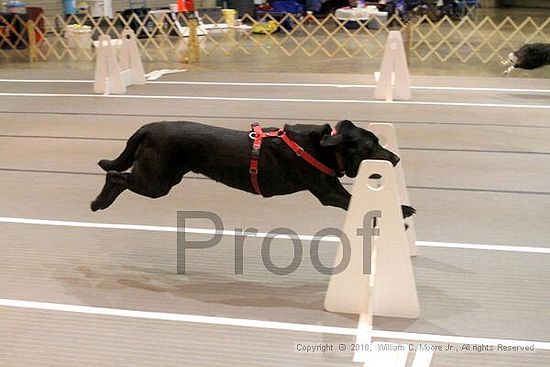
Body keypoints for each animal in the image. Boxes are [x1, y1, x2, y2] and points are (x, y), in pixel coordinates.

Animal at [91, 120, 414, 218]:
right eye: (372, 146)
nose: (396, 159)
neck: (325, 147)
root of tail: (149, 128)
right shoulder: (327, 192)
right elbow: (353, 199)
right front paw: (404, 210)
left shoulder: (331, 186)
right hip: (156, 181)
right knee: (115, 175)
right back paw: (98, 203)